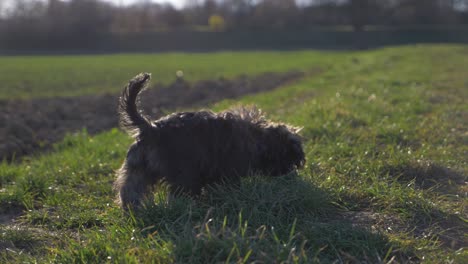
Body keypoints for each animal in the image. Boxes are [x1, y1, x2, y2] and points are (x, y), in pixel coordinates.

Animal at [112, 73, 304, 209]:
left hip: (137, 169)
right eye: (290, 157)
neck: (260, 138)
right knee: (178, 194)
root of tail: (151, 128)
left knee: (130, 189)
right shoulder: (229, 166)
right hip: (184, 174)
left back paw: (132, 210)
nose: (292, 178)